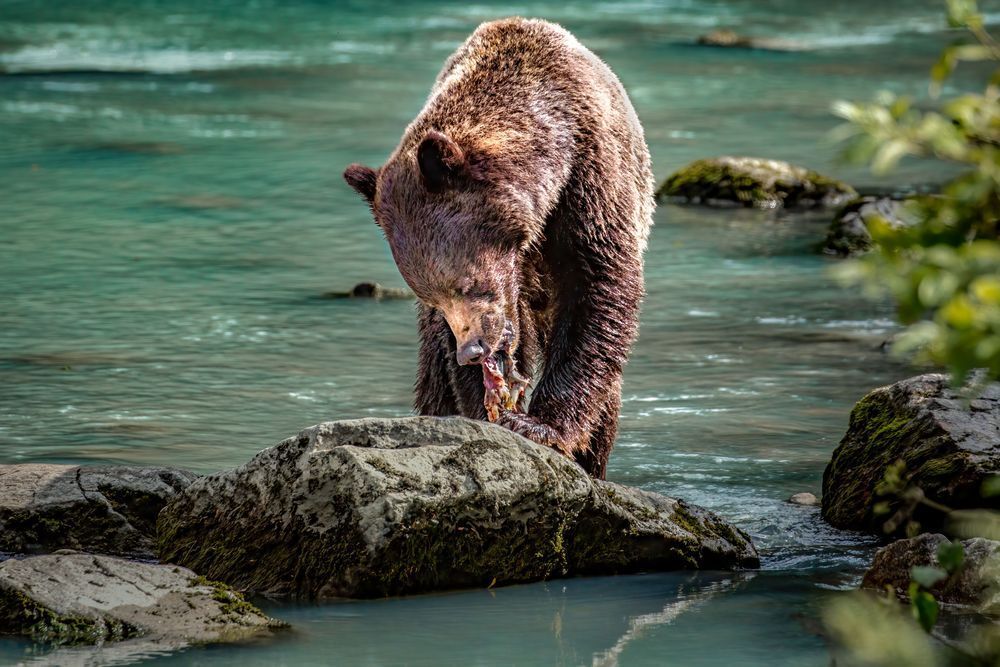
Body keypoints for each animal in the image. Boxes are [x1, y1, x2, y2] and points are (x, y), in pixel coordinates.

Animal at [343, 17, 653, 479]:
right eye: (433, 297)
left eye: (468, 283)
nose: (472, 351)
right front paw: (492, 411)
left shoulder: (591, 181)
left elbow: (597, 286)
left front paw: (542, 424)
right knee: (434, 376)